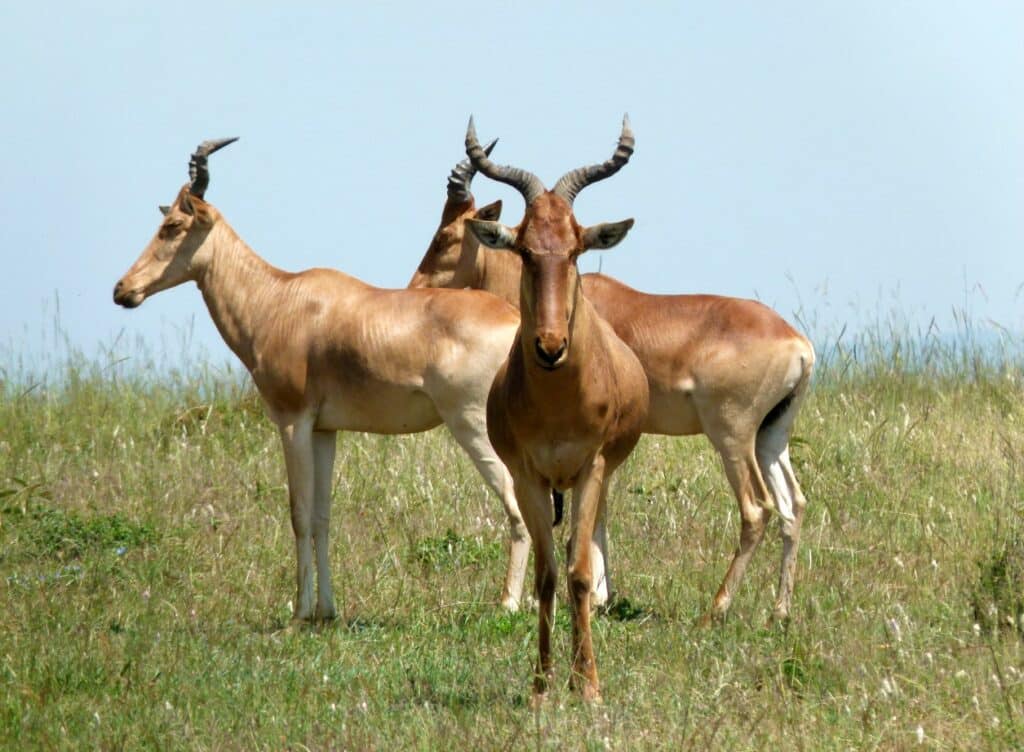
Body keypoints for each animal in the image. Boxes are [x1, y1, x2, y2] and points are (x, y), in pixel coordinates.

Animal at [115, 138, 536, 622]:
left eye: (173, 225)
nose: (123, 290)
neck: (280, 298)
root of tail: (516, 322)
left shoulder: (292, 421)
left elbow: (298, 513)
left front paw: (300, 613)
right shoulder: (325, 430)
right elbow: (322, 516)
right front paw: (326, 609)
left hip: (473, 424)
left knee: (517, 498)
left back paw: (508, 603)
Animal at [407, 141, 815, 622]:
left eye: (445, 237)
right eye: (525, 248)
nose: (414, 287)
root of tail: (798, 344)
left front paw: (595, 595)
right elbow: (601, 510)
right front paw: (603, 594)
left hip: (732, 434)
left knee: (756, 509)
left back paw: (717, 608)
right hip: (772, 434)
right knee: (793, 506)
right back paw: (780, 610)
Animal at [466, 114, 647, 704]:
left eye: (575, 248)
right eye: (524, 249)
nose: (549, 347)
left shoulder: (591, 468)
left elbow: (580, 573)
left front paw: (588, 686)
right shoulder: (528, 476)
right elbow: (546, 574)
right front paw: (543, 686)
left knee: (581, 557)